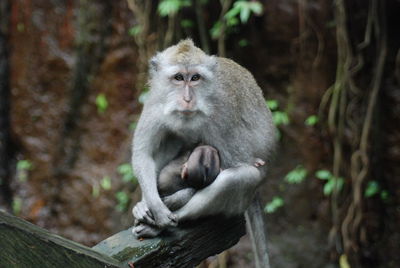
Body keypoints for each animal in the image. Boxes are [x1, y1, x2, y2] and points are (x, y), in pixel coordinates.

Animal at [131, 38, 276, 266]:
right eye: (178, 78)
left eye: (195, 78)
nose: (187, 99)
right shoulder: (155, 104)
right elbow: (143, 154)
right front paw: (152, 204)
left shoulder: (222, 115)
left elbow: (234, 165)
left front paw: (168, 204)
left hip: (246, 195)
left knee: (240, 177)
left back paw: (166, 221)